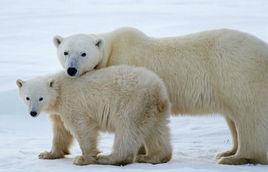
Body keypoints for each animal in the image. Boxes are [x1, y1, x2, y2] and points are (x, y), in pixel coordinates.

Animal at [48, 27, 268, 165]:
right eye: (66, 52)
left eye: (83, 53)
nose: (72, 70)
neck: (110, 50)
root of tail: (263, 50)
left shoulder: (126, 67)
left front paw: (140, 152)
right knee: (232, 117)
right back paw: (228, 151)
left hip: (237, 73)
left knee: (248, 116)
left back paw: (237, 157)